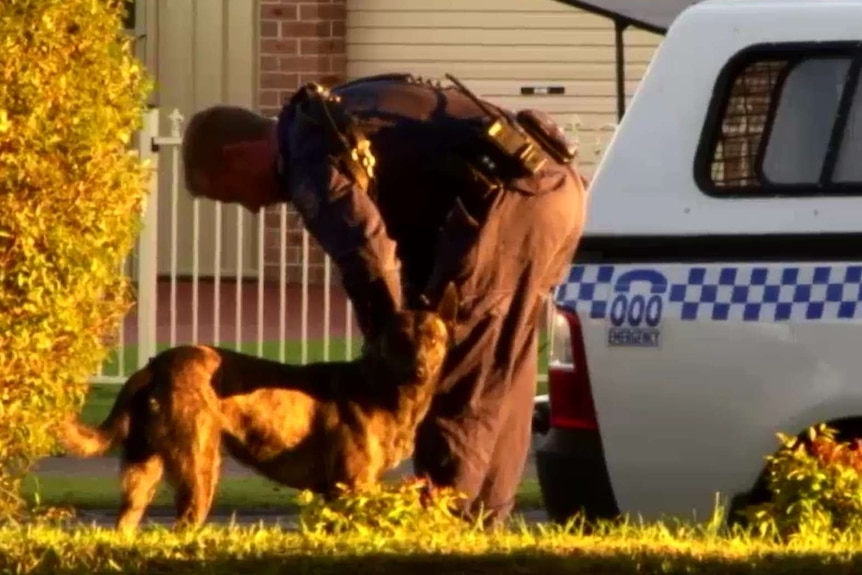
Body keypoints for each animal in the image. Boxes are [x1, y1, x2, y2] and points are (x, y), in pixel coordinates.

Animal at [62, 286, 460, 532]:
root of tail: (155, 365)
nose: (420, 371)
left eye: (434, 340)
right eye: (399, 341)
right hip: (199, 472)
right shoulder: (351, 489)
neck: (380, 387)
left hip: (142, 474)